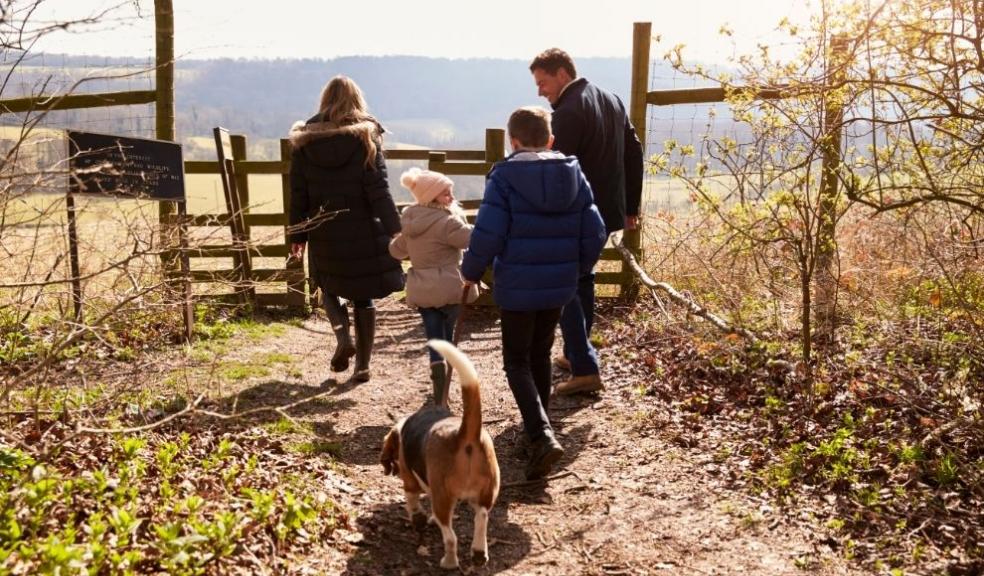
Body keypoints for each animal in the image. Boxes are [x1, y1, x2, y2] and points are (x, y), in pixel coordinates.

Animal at [376, 340, 500, 568]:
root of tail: (463, 435)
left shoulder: (410, 482)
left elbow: (412, 502)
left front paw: (418, 518)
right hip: (486, 493)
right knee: (481, 518)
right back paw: (479, 553)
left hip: (444, 499)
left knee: (451, 537)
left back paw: (449, 561)